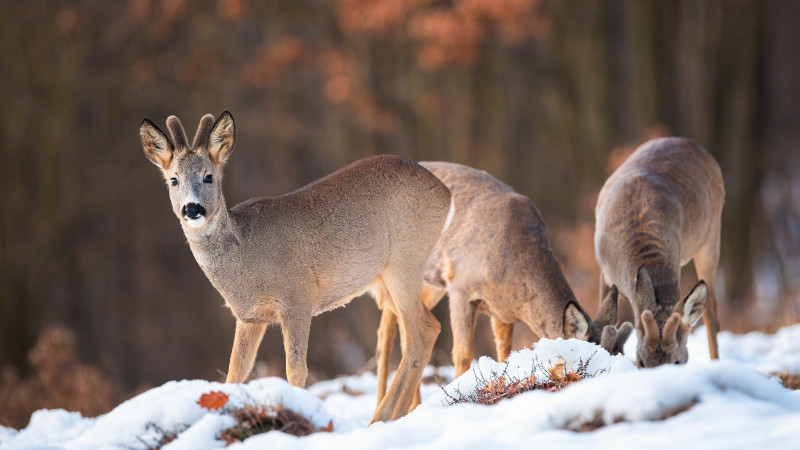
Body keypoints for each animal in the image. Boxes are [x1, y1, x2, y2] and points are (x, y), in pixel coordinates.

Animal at [138, 111, 450, 422]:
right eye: (174, 180)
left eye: (208, 177)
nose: (192, 209)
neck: (246, 258)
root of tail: (445, 193)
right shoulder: (249, 317)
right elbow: (235, 372)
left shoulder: (298, 299)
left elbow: (296, 370)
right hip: (385, 279)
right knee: (429, 328)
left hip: (405, 260)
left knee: (417, 335)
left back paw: (382, 417)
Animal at [376, 160, 632, 406]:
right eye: (585, 362)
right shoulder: (460, 287)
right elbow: (463, 354)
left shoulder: (501, 311)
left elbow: (504, 353)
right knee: (386, 332)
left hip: (427, 285)